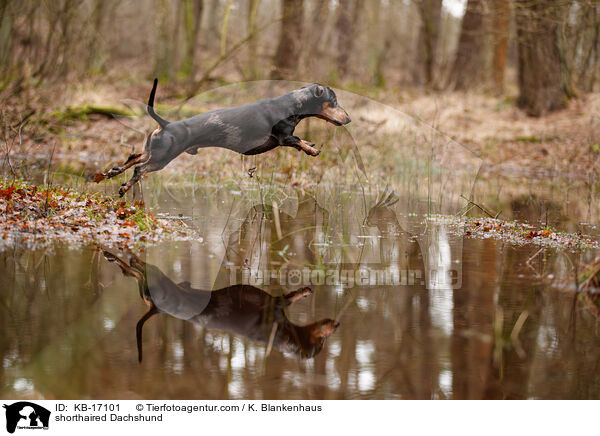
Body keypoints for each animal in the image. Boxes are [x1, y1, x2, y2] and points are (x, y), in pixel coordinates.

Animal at [94, 79, 352, 197]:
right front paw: (311, 149)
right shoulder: (283, 138)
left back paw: (113, 172)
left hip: (154, 150)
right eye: (334, 101)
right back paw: (124, 187)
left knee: (133, 157)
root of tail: (166, 124)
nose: (349, 118)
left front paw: (310, 146)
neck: (292, 104)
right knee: (139, 170)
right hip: (162, 157)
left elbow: (300, 142)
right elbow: (297, 140)